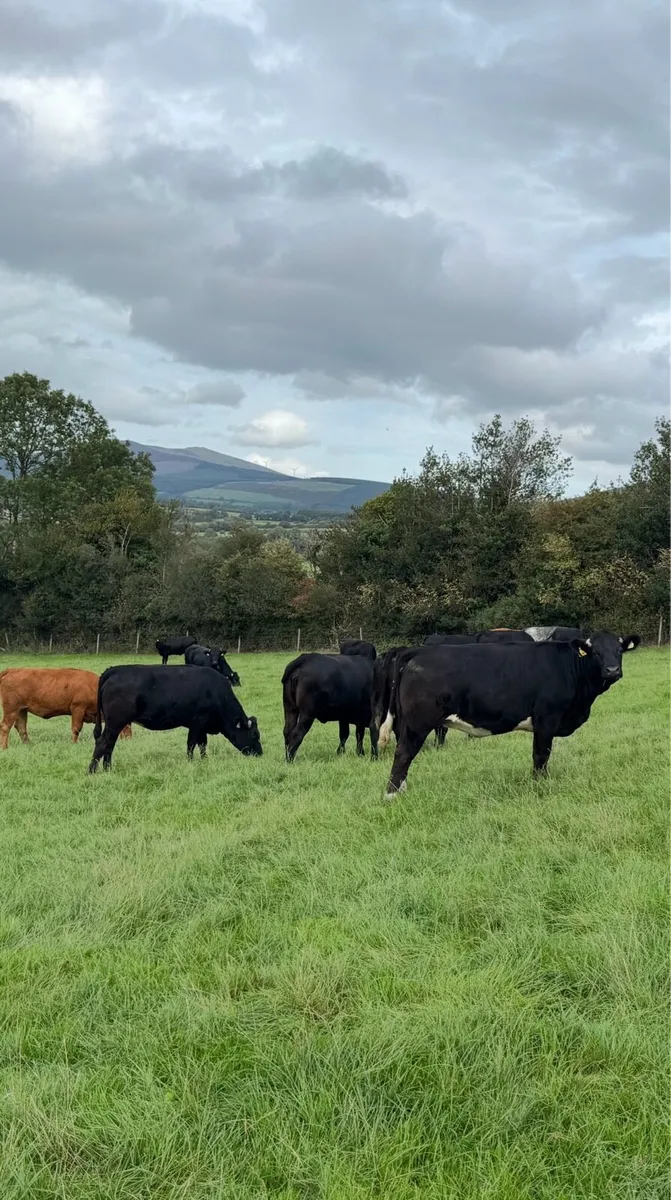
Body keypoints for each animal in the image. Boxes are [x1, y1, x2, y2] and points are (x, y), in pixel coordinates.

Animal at [0, 668, 132, 749]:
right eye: (126, 723)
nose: (130, 739)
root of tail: (13, 670)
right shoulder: (78, 709)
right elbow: (76, 728)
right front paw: (74, 743)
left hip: (22, 710)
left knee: (21, 728)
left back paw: (28, 744)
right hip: (11, 710)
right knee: (5, 727)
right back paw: (4, 747)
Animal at [88, 665, 261, 772]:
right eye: (254, 735)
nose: (260, 753)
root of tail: (115, 670)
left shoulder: (202, 726)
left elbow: (202, 744)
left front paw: (204, 760)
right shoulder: (197, 723)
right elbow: (192, 744)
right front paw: (190, 762)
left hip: (114, 725)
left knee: (109, 745)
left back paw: (108, 769)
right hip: (115, 723)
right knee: (103, 743)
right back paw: (92, 771)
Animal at [382, 633, 640, 797]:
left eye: (619, 650)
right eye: (595, 652)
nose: (612, 670)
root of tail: (415, 651)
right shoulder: (547, 719)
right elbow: (540, 755)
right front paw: (539, 785)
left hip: (405, 723)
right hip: (418, 723)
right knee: (403, 754)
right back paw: (392, 796)